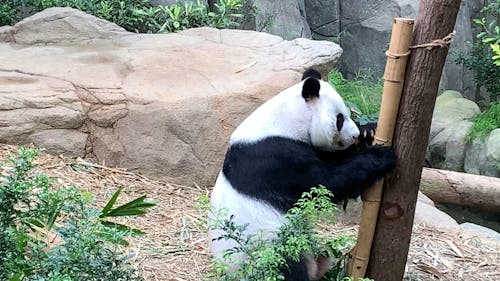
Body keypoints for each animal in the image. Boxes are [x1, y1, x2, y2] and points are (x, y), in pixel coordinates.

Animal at [207, 69, 394, 278]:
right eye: (339, 119)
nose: (353, 135)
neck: (285, 119)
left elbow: (332, 160)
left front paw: (369, 132)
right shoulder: (276, 158)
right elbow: (325, 185)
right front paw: (381, 156)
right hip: (268, 250)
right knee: (286, 266)